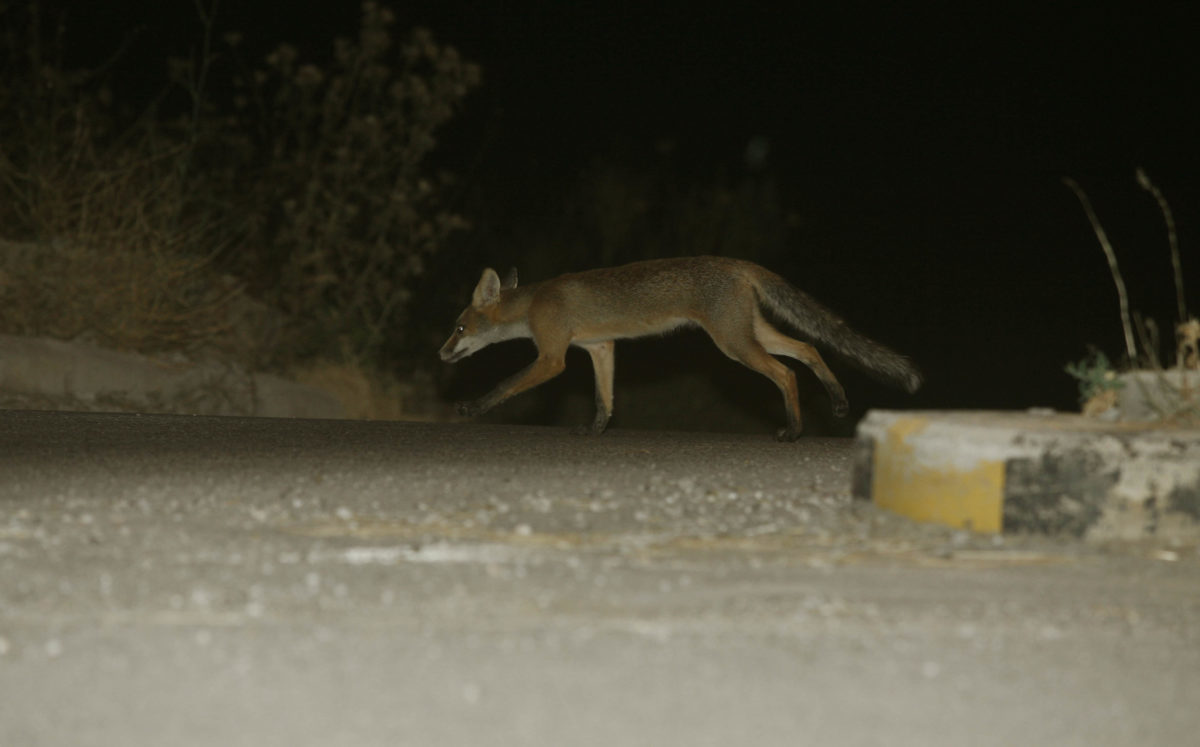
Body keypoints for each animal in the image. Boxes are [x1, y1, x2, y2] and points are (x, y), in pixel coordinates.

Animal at [441, 257, 916, 441]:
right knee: (810, 349)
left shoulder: (552, 358)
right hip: (750, 334)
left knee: (786, 373)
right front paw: (595, 430)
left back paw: (794, 430)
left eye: (459, 327)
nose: (442, 354)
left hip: (733, 345)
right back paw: (837, 402)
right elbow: (604, 399)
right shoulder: (600, 347)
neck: (535, 303)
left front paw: (471, 408)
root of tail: (737, 262)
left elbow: (505, 385)